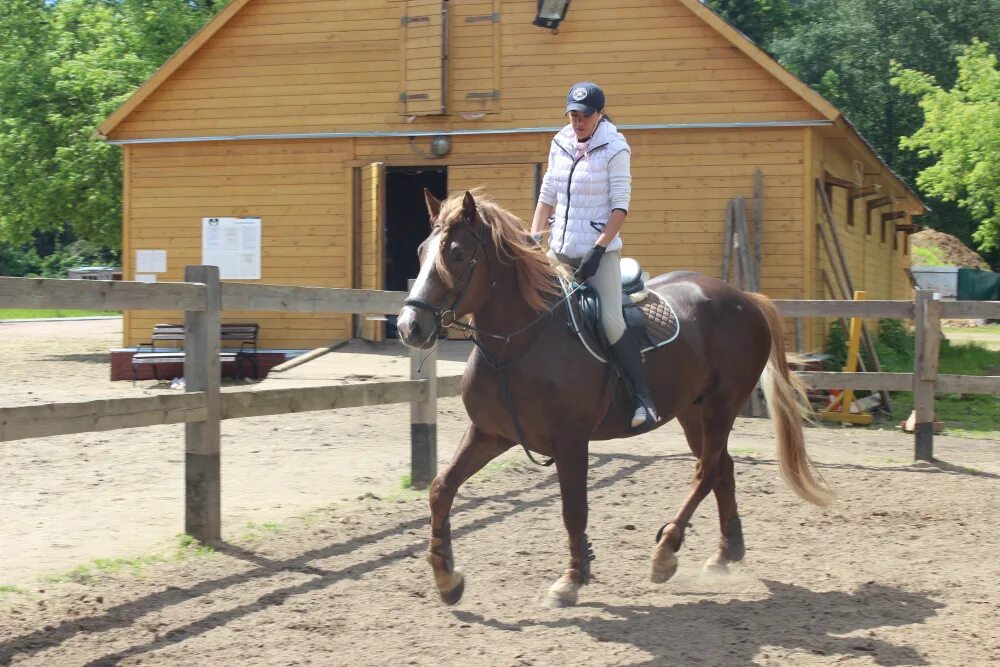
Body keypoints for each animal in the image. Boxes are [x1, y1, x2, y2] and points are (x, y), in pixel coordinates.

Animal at [394, 190, 832, 608]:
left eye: (457, 253)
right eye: (421, 251)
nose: (410, 326)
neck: (519, 344)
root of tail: (744, 298)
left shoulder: (571, 442)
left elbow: (574, 510)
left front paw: (571, 581)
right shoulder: (490, 434)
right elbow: (441, 488)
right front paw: (446, 577)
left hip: (723, 405)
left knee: (707, 471)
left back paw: (666, 551)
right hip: (694, 412)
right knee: (721, 467)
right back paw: (725, 554)